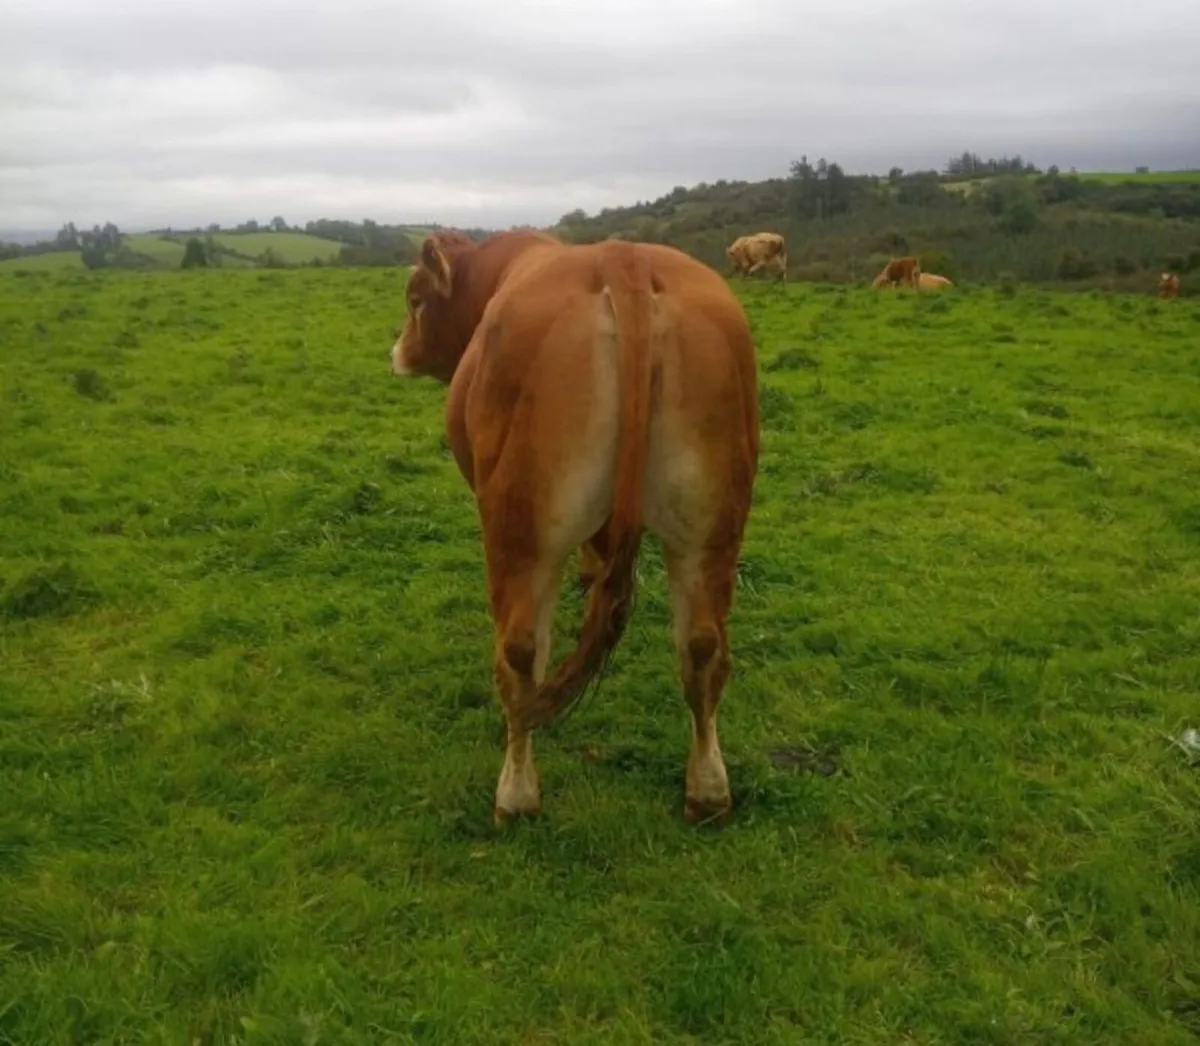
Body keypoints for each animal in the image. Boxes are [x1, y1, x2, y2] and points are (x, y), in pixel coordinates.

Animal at [390, 230, 760, 826]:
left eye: (416, 300)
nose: (398, 351)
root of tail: (622, 258)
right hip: (710, 527)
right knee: (703, 649)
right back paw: (708, 789)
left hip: (520, 532)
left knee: (520, 656)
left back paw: (516, 793)